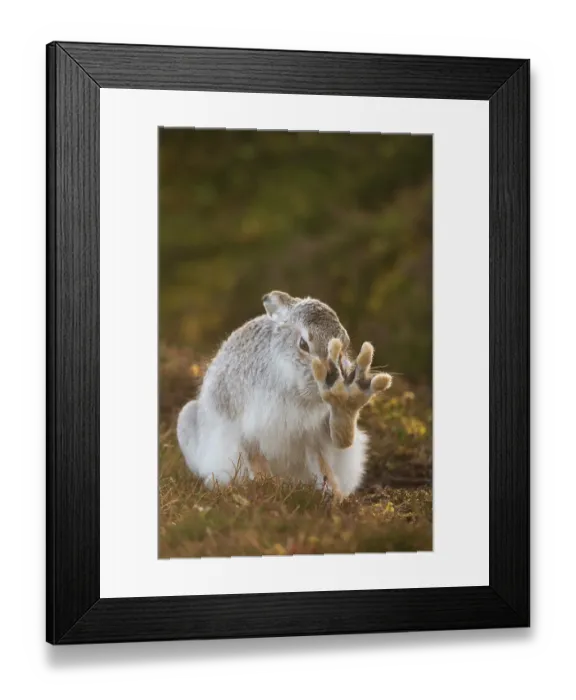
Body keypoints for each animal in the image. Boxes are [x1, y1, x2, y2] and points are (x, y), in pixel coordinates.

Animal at [176, 291, 393, 501]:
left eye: (344, 348)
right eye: (303, 344)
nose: (333, 380)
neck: (294, 386)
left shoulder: (314, 434)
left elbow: (336, 447)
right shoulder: (241, 419)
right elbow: (253, 455)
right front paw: (265, 485)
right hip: (186, 420)